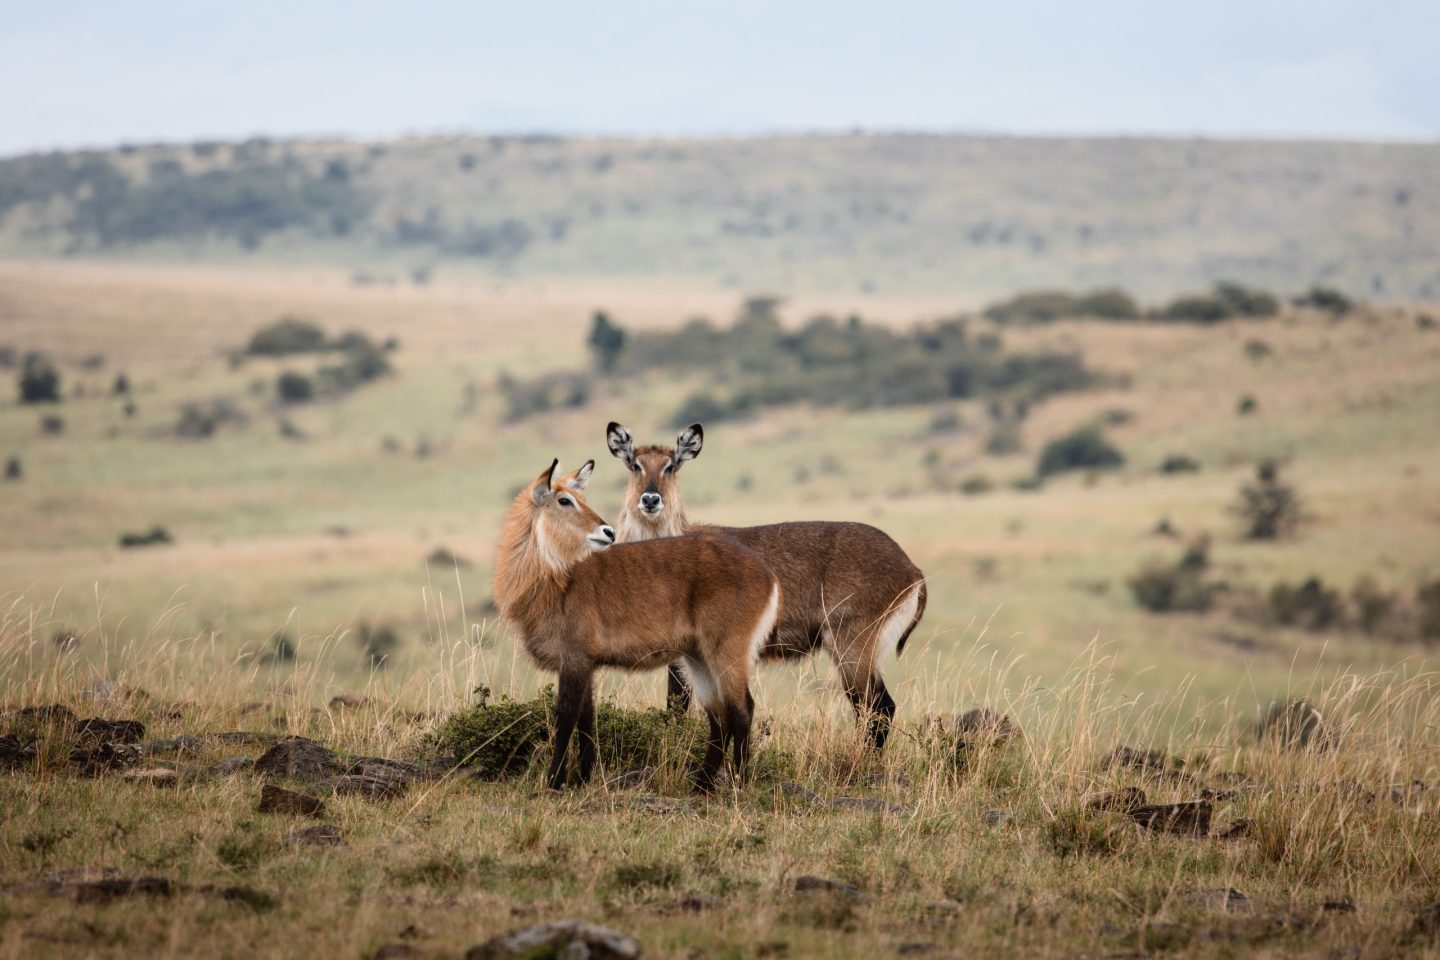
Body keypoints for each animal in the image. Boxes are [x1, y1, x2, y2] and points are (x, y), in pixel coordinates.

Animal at [492, 458, 781, 791]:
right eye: (564, 500)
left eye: (580, 498)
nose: (608, 531)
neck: (558, 580)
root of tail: (767, 574)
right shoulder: (585, 664)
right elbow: (586, 719)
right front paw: (584, 779)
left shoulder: (574, 658)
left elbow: (565, 717)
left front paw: (554, 783)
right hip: (697, 657)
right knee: (719, 717)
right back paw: (700, 786)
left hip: (727, 650)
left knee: (742, 709)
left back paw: (738, 783)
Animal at [606, 421, 927, 749]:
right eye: (635, 465)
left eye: (670, 466)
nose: (650, 499)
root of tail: (912, 570)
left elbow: (677, 706)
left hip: (851, 645)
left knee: (877, 708)